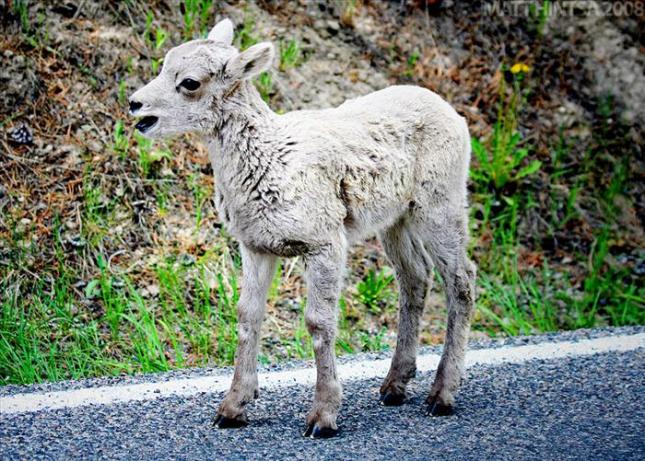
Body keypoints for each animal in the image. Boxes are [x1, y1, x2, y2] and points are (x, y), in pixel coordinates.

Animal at [129, 18, 476, 439]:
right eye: (164, 66)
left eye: (190, 82)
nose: (135, 104)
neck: (269, 160)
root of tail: (454, 115)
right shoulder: (256, 248)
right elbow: (247, 316)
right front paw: (232, 410)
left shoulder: (324, 244)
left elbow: (318, 322)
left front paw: (323, 418)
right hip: (396, 221)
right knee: (415, 279)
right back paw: (394, 387)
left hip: (440, 206)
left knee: (461, 282)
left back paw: (441, 396)